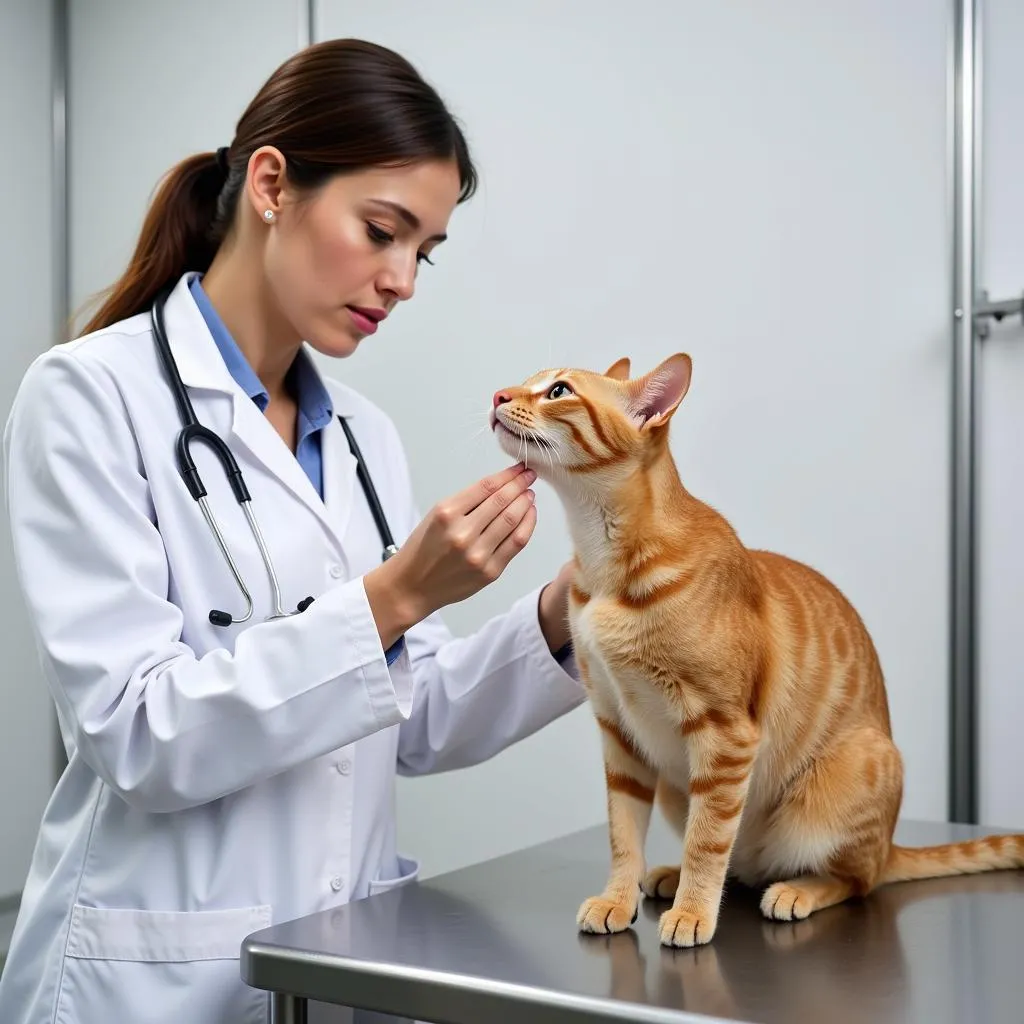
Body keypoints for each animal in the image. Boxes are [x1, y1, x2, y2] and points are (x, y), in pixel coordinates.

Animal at [489, 356, 1024, 946]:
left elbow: (706, 839)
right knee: (743, 864)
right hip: (676, 786)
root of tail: (890, 845)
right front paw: (617, 899)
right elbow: (623, 833)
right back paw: (671, 876)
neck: (605, 565)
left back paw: (795, 891)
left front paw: (693, 912)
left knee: (855, 879)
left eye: (558, 391)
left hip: (844, 782)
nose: (497, 396)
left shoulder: (724, 732)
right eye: (527, 382)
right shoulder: (617, 729)